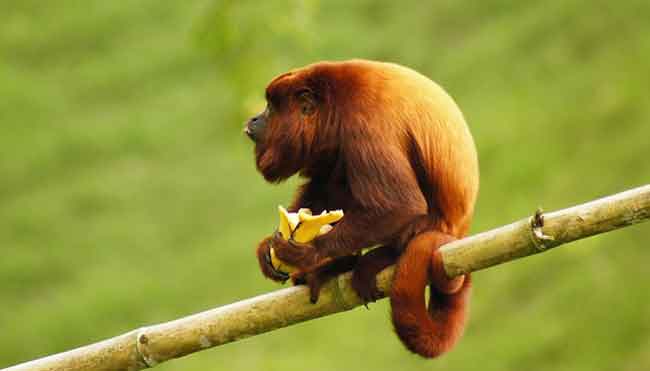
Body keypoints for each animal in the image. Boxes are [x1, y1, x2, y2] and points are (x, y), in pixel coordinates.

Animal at [246, 59, 478, 358]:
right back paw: (338, 265)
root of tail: (458, 230)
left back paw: (381, 257)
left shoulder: (363, 124)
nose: (253, 119)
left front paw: (310, 253)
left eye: (271, 108)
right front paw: (268, 248)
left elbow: (402, 205)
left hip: (435, 225)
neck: (333, 106)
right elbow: (321, 186)